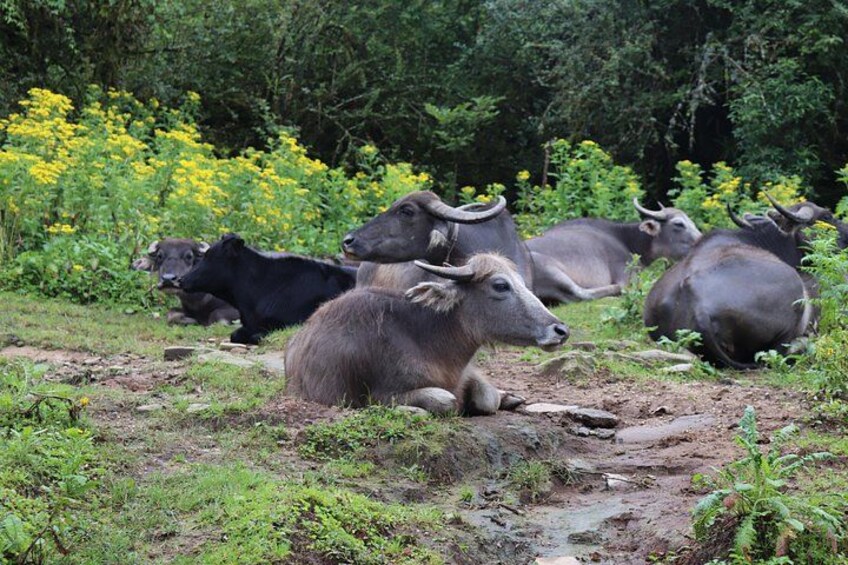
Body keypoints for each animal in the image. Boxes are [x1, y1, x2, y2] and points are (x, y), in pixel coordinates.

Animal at [285, 253, 569, 415]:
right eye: (500, 285)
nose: (561, 330)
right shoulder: (376, 393)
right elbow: (445, 400)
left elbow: (487, 397)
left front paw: (504, 397)